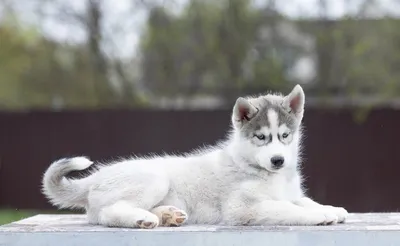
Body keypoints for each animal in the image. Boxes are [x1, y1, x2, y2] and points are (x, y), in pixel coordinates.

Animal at [41, 85, 346, 229]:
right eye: (261, 137)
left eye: (284, 135)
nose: (278, 161)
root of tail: (94, 179)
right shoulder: (242, 208)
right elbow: (287, 209)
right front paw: (320, 216)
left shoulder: (290, 192)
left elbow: (302, 200)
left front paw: (330, 208)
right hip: (154, 179)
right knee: (107, 212)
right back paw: (142, 219)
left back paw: (167, 215)